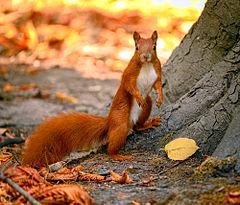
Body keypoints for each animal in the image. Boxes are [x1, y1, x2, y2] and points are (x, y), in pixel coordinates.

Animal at [21, 31, 163, 167]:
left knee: (138, 125)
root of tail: (109, 121)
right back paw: (117, 155)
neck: (146, 65)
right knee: (114, 143)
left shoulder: (157, 72)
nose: (146, 56)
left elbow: (158, 85)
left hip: (146, 108)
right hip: (121, 121)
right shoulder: (129, 74)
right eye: (137, 47)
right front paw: (139, 97)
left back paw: (148, 124)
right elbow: (130, 86)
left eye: (154, 47)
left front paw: (160, 98)